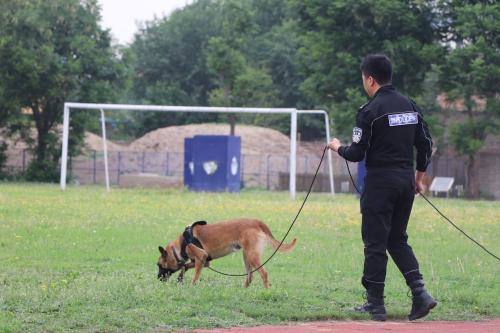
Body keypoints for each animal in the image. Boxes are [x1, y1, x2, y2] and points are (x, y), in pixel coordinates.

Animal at [158, 218, 294, 288]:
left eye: (159, 265)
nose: (158, 278)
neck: (182, 244)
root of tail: (256, 222)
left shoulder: (201, 256)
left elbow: (195, 276)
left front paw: (191, 286)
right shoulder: (203, 262)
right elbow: (184, 266)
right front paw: (180, 277)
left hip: (251, 256)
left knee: (263, 273)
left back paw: (266, 291)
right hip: (246, 256)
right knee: (250, 276)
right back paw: (243, 290)